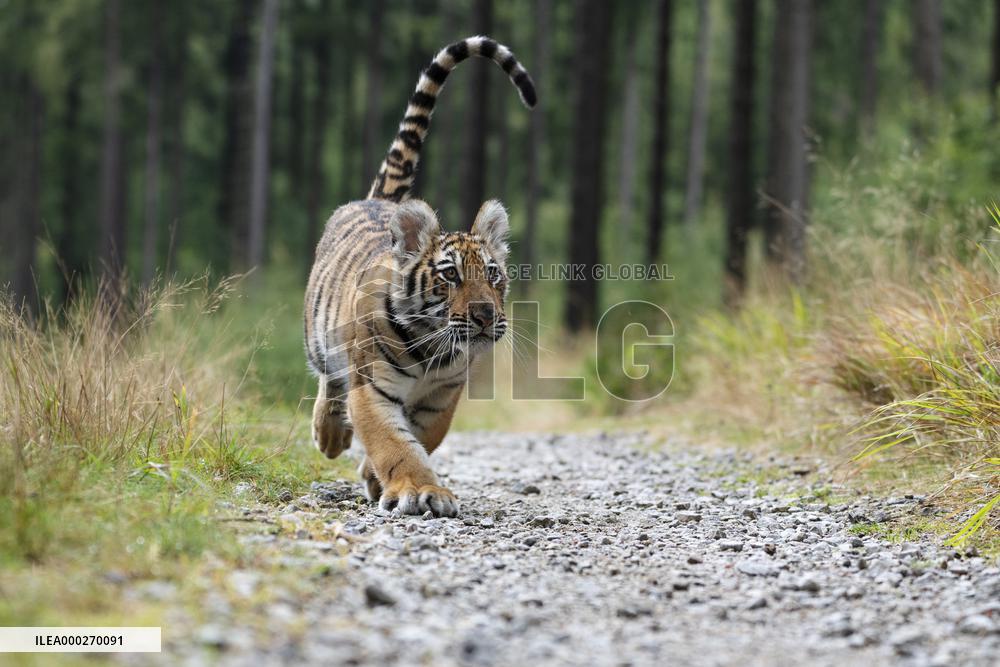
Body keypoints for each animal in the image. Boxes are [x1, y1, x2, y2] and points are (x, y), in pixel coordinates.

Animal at [303, 36, 536, 517]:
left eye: (492, 275)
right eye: (450, 276)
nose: (485, 315)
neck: (434, 349)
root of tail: (382, 200)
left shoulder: (441, 397)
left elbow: (421, 439)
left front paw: (378, 479)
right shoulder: (371, 388)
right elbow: (394, 443)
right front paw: (418, 490)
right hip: (320, 338)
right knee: (329, 380)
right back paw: (329, 435)